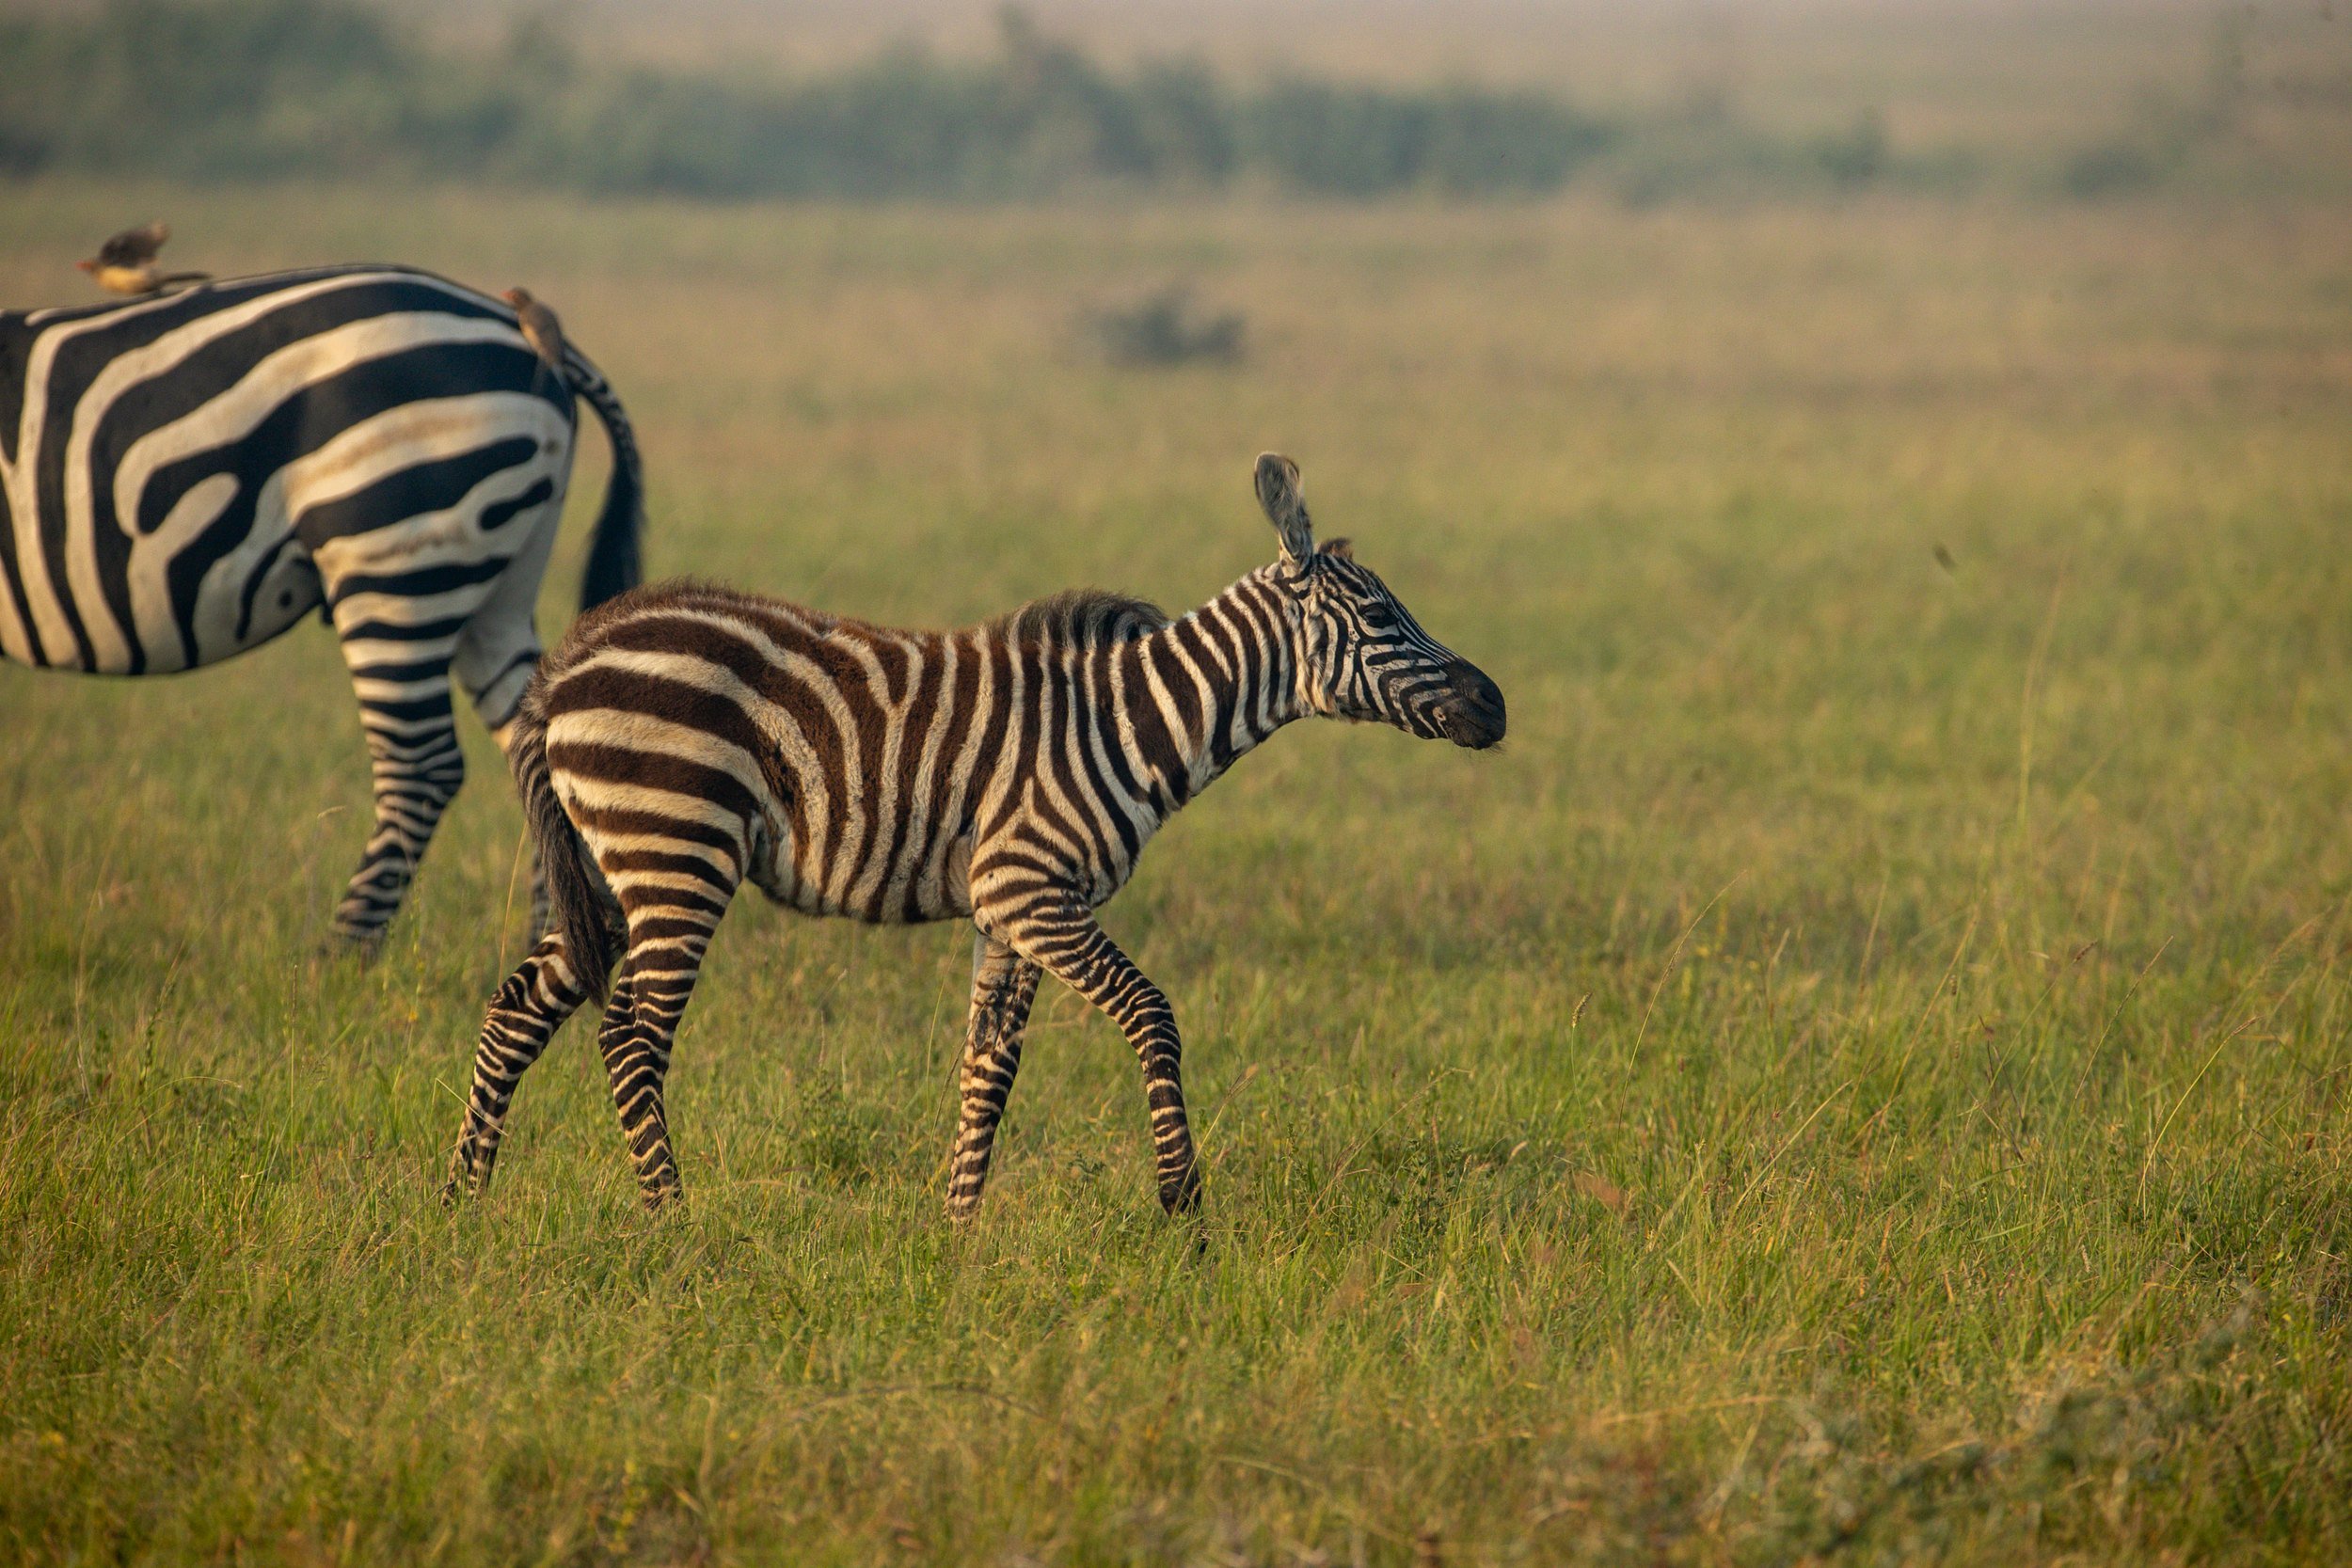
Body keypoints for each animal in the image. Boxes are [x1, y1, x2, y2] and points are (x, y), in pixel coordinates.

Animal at [1, 264, 646, 946]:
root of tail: (526, 328)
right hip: (498, 585)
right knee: (535, 752)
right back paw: (550, 950)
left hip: (395, 559)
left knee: (422, 769)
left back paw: (338, 961)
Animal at [444, 452, 1505, 1217]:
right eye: (1381, 615)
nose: (1494, 706)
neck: (1129, 720)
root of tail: (568, 661)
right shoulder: (1031, 887)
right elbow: (1152, 1014)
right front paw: (1184, 1204)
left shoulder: (1007, 911)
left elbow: (988, 1067)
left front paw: (957, 1231)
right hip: (676, 850)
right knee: (630, 1034)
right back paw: (674, 1221)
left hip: (613, 865)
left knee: (516, 1011)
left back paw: (462, 1202)